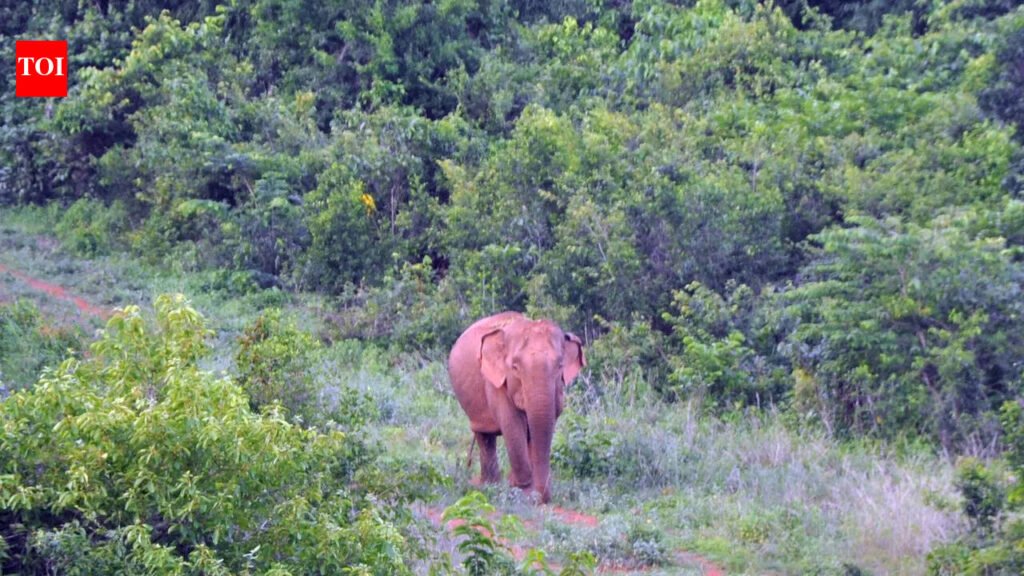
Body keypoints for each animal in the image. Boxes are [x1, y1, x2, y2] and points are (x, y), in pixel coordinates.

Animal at [448, 311, 586, 503]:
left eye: (560, 366)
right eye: (515, 367)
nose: (542, 498)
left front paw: (523, 489)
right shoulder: (496, 381)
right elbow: (512, 423)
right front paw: (521, 489)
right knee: (484, 436)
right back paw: (490, 486)